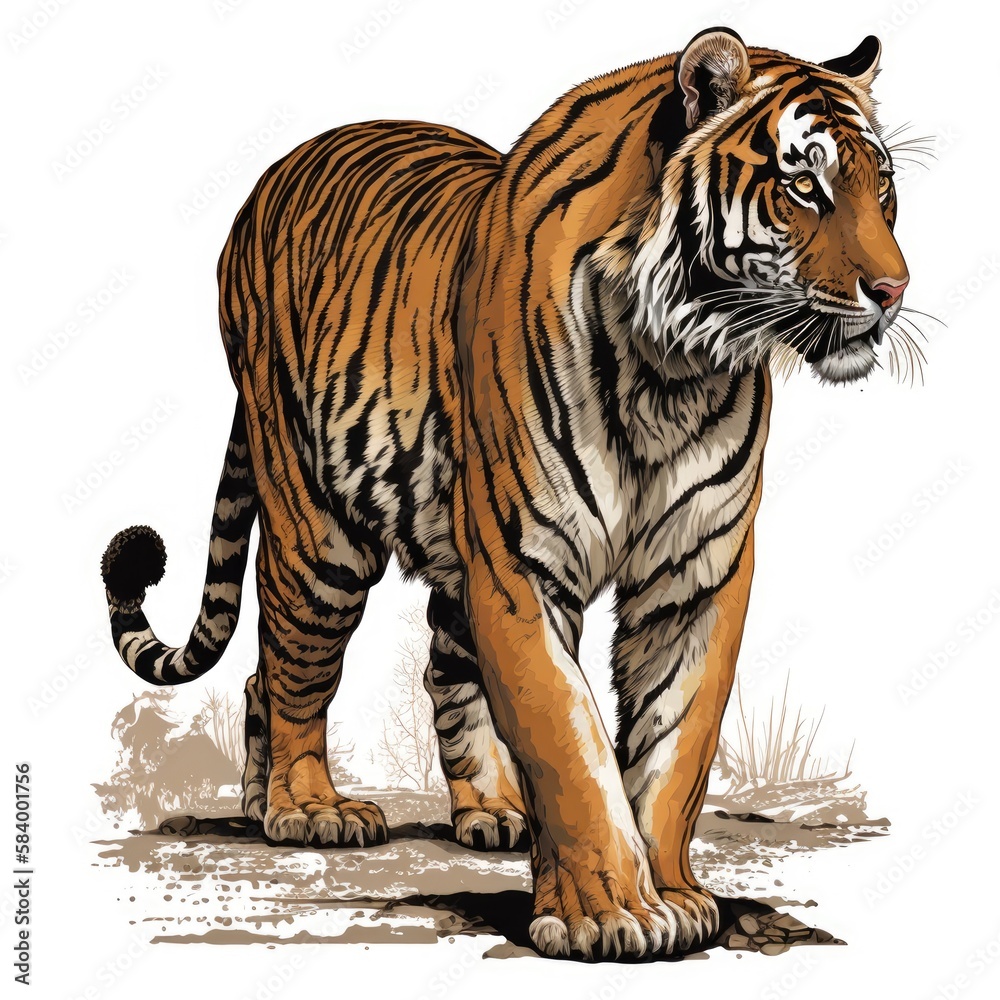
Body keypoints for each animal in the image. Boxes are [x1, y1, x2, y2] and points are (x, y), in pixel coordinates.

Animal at [101, 27, 914, 960]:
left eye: (883, 188)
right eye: (803, 185)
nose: (895, 291)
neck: (675, 369)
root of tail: (278, 172)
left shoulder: (697, 571)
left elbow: (677, 743)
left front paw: (673, 892)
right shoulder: (522, 559)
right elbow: (568, 735)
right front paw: (610, 913)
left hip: (451, 560)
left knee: (432, 669)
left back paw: (481, 810)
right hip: (320, 532)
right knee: (289, 666)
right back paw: (303, 808)